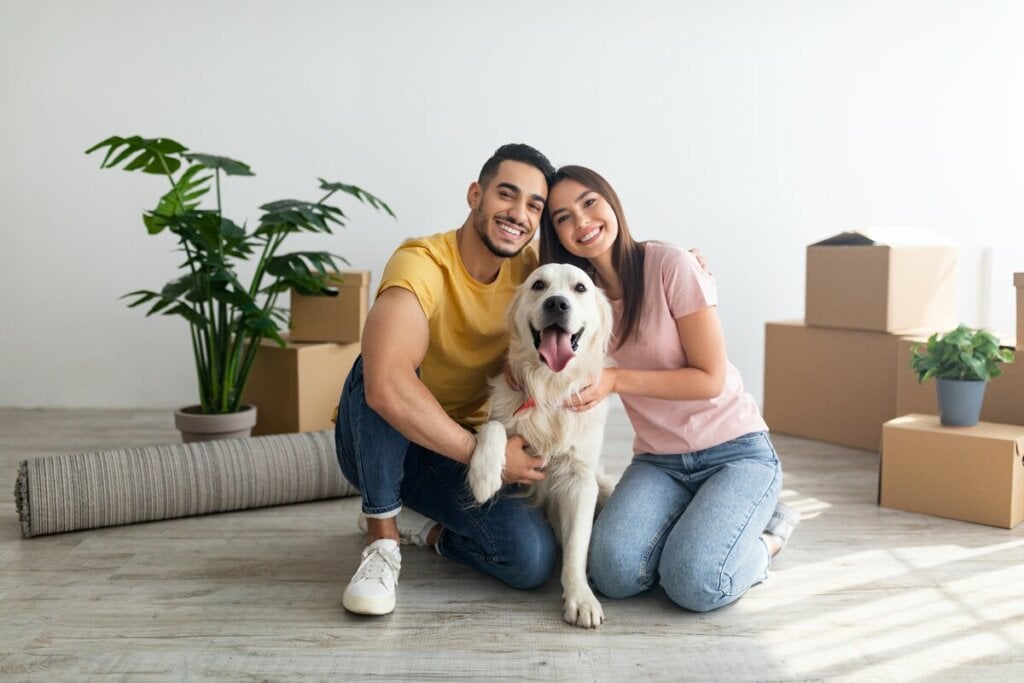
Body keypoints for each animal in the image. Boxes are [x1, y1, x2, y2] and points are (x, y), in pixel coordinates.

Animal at [468, 262, 614, 630]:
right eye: (538, 285)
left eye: (580, 288)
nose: (557, 304)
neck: (549, 387)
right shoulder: (503, 416)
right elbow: (493, 427)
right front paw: (484, 477)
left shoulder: (581, 480)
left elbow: (576, 546)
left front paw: (581, 598)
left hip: (605, 486)